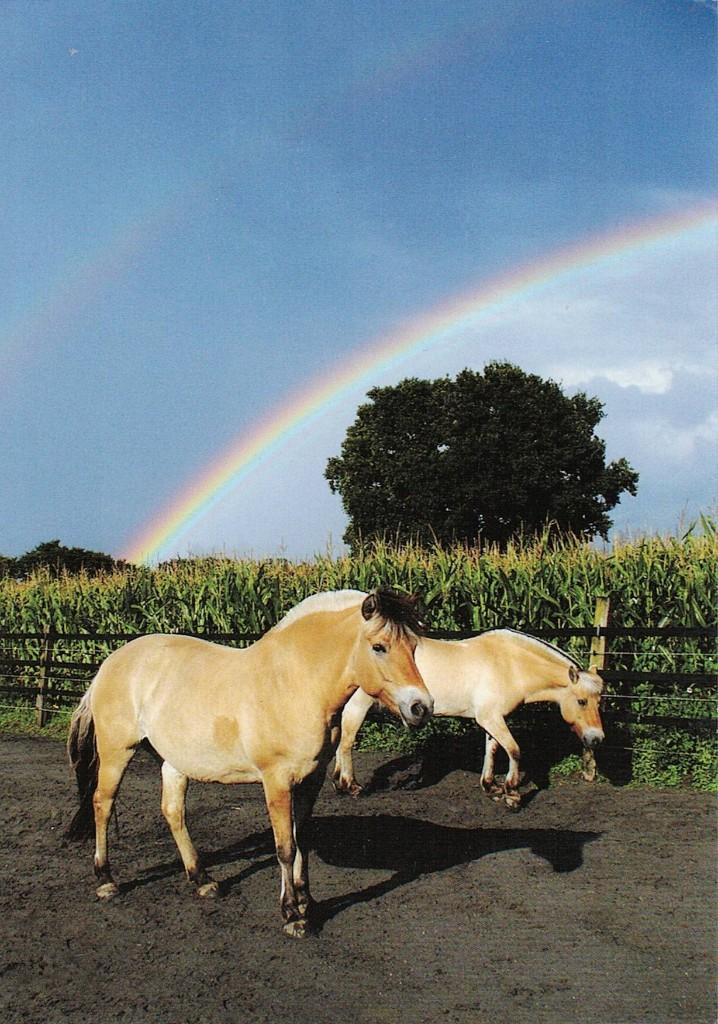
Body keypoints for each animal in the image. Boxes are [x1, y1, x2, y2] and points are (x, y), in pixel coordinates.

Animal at [65, 588, 433, 938]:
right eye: (379, 647)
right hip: (117, 751)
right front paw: (293, 916)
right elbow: (285, 847)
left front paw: (307, 902)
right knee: (102, 804)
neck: (295, 683)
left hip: (172, 761)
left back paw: (203, 880)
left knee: (172, 812)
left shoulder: (311, 780)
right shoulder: (277, 781)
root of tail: (109, 664)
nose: (421, 707)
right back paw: (106, 880)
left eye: (414, 646)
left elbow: (303, 840)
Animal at [328, 591, 604, 809]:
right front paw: (512, 794)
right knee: (347, 742)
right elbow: (514, 750)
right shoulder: (490, 718)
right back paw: (350, 785)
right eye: (582, 701)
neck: (510, 663)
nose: (597, 739)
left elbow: (493, 749)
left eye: (598, 702)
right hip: (359, 706)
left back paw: (338, 782)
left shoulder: (493, 718)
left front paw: (491, 786)